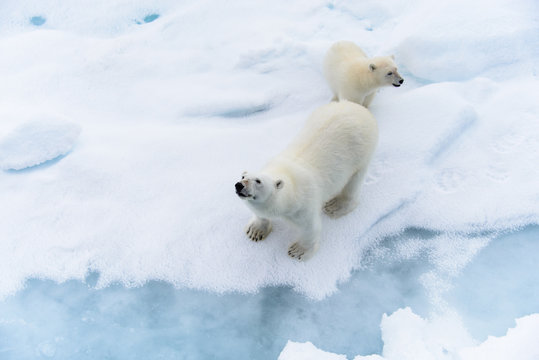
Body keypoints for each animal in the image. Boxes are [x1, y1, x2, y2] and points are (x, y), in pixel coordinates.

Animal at [234, 100, 378, 260]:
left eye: (258, 181)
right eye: (243, 176)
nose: (239, 185)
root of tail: (355, 106)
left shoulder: (303, 205)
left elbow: (310, 228)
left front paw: (298, 250)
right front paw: (255, 231)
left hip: (362, 151)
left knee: (354, 181)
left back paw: (336, 206)